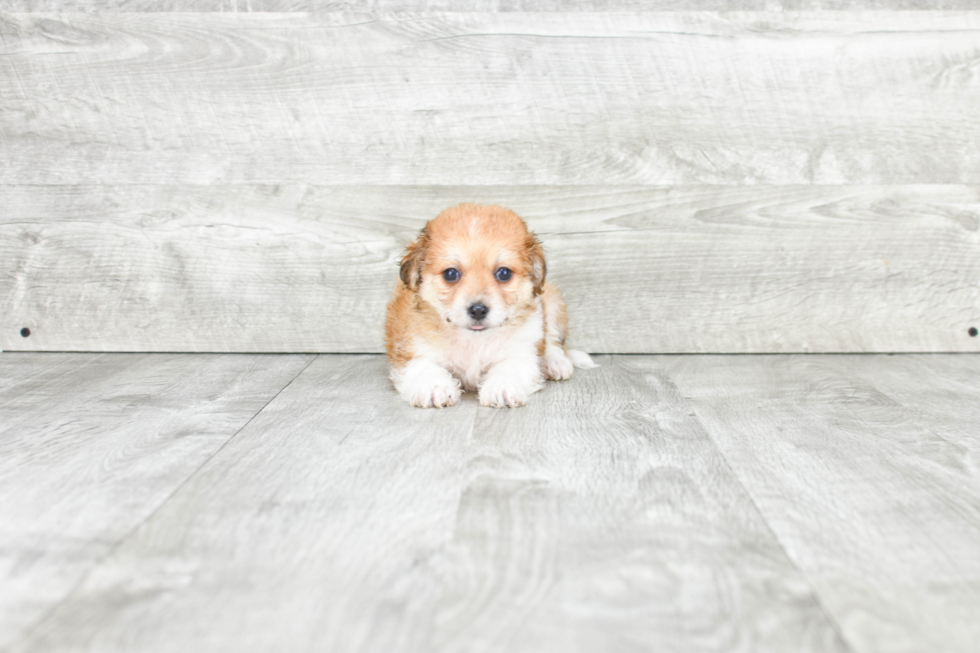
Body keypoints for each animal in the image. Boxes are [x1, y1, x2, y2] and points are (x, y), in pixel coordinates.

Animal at [386, 204, 592, 408]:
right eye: (450, 274)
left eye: (504, 273)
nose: (478, 310)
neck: (474, 341)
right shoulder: (412, 350)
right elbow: (425, 367)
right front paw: (434, 386)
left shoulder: (522, 350)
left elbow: (509, 367)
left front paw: (501, 387)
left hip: (552, 302)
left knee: (553, 341)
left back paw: (555, 362)